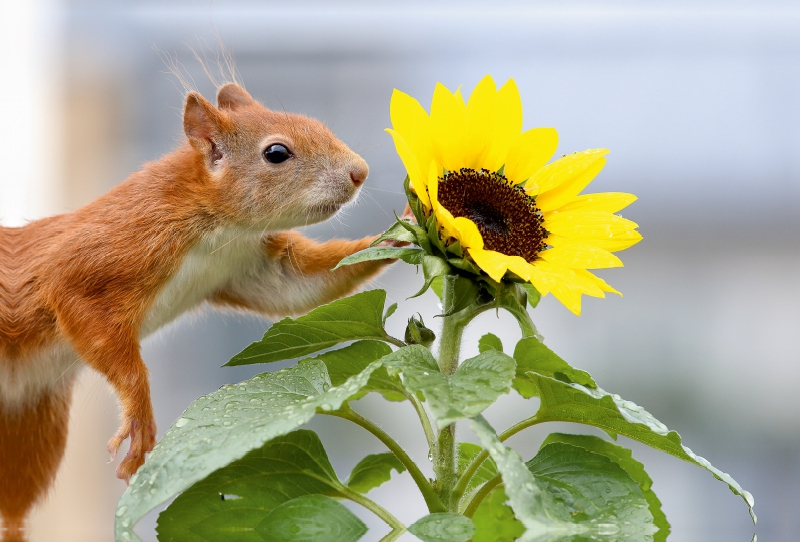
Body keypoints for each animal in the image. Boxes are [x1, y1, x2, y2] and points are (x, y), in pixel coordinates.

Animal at [0, 83, 398, 540]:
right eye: (277, 153)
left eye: (317, 123)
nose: (360, 172)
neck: (219, 226)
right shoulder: (105, 255)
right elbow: (87, 314)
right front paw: (139, 415)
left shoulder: (251, 267)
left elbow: (298, 291)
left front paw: (396, 237)